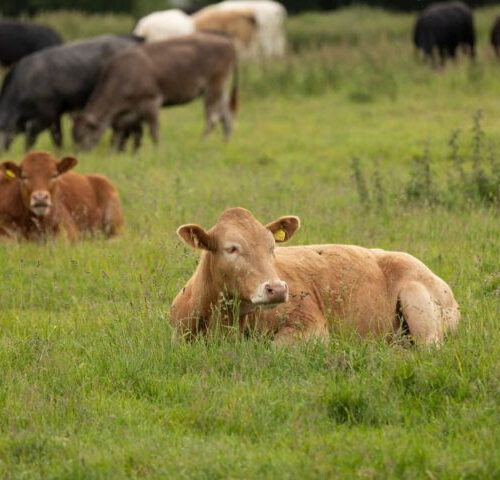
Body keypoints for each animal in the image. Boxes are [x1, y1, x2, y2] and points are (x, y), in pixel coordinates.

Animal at [73, 33, 239, 150]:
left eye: (84, 135)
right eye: (75, 137)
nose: (80, 153)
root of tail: (228, 42)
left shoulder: (151, 102)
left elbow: (154, 132)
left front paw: (157, 151)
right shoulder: (127, 115)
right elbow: (121, 135)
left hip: (213, 87)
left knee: (212, 118)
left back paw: (202, 142)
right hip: (221, 91)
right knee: (226, 117)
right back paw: (226, 144)